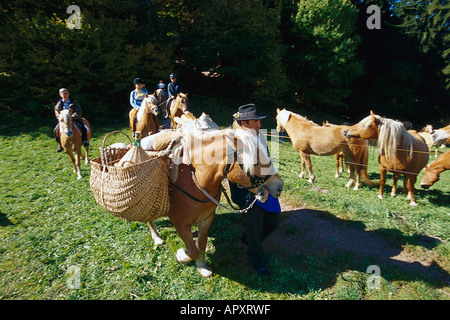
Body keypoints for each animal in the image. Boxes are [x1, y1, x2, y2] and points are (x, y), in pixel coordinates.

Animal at [146, 127, 284, 278]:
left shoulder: (206, 218)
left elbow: (201, 243)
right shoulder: (180, 224)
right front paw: (182, 255)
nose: (279, 186)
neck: (195, 181)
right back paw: (156, 237)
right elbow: (192, 250)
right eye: (255, 163)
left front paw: (201, 266)